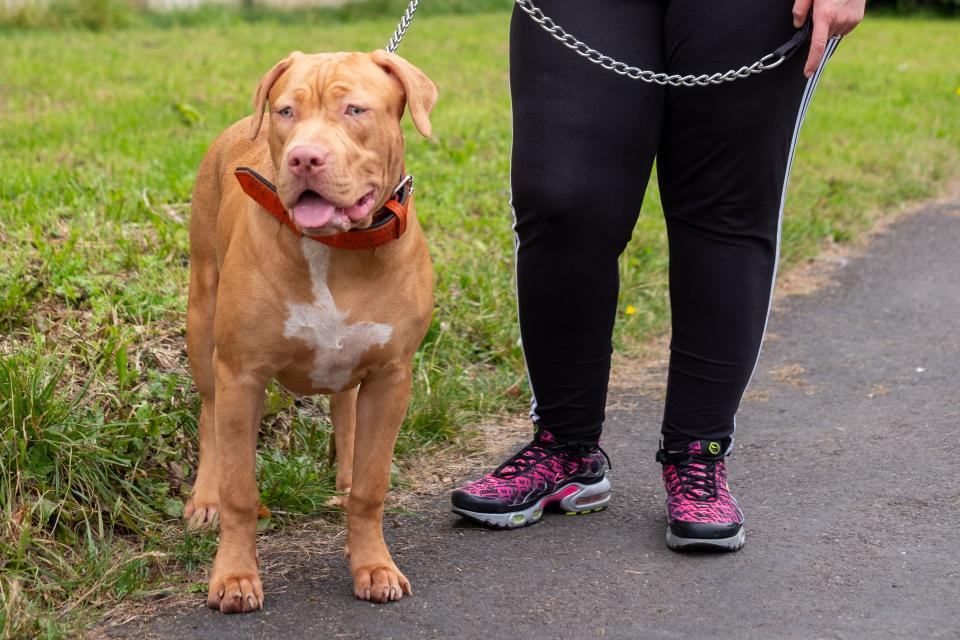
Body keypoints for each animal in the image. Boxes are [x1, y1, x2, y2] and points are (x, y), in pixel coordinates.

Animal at [182, 48, 436, 608]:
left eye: (355, 110)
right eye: (285, 111)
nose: (304, 158)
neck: (336, 248)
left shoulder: (391, 377)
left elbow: (372, 485)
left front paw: (372, 564)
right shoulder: (241, 375)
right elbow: (240, 489)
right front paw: (234, 576)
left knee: (345, 412)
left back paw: (343, 484)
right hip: (201, 323)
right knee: (209, 417)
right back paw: (204, 498)